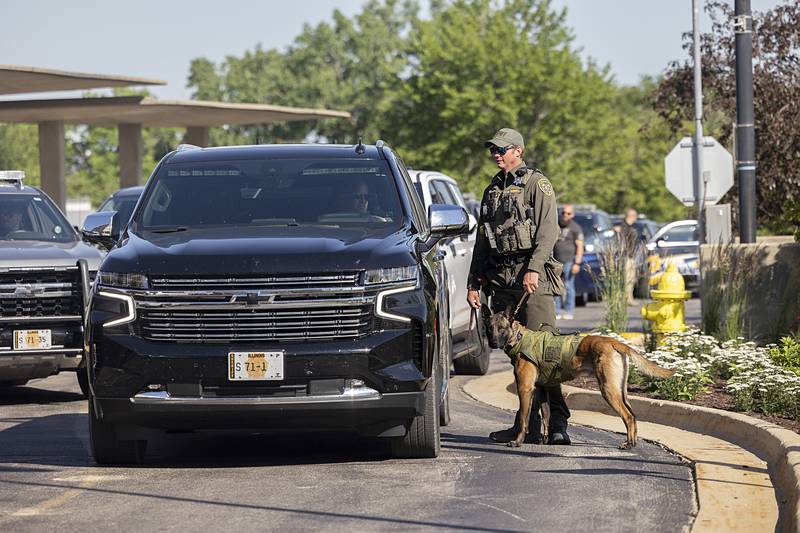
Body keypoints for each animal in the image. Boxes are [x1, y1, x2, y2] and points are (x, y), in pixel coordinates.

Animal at [482, 304, 676, 448]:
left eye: (502, 329)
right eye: (489, 328)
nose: (492, 343)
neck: (520, 337)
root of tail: (612, 341)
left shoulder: (525, 389)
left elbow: (524, 417)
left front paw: (517, 441)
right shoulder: (541, 390)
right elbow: (546, 417)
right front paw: (545, 440)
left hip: (608, 389)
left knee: (628, 416)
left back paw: (628, 444)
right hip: (620, 390)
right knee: (633, 415)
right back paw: (633, 442)